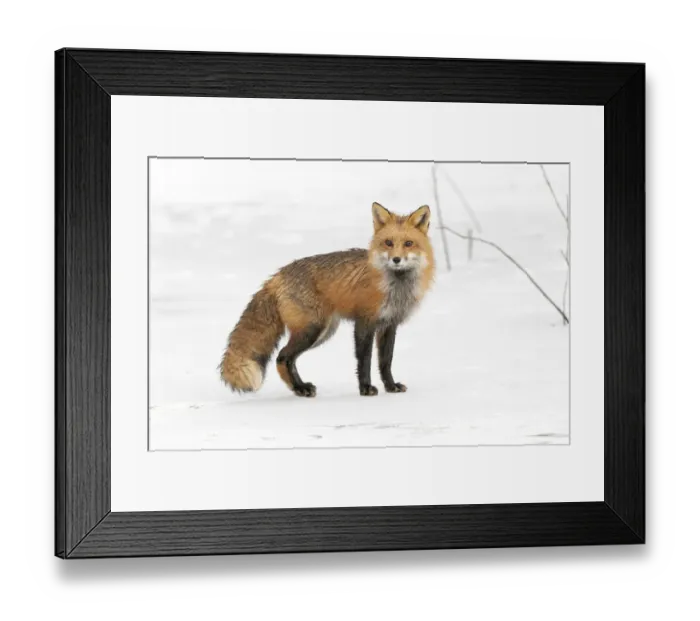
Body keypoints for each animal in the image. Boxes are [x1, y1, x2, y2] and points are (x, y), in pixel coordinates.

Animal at [219, 202, 435, 397]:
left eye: (408, 243)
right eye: (388, 243)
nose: (396, 259)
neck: (395, 287)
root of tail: (277, 275)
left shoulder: (389, 324)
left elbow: (385, 361)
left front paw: (390, 387)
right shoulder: (364, 322)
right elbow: (364, 361)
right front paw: (365, 388)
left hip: (323, 332)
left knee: (287, 359)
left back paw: (299, 387)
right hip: (312, 330)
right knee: (282, 357)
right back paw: (300, 389)